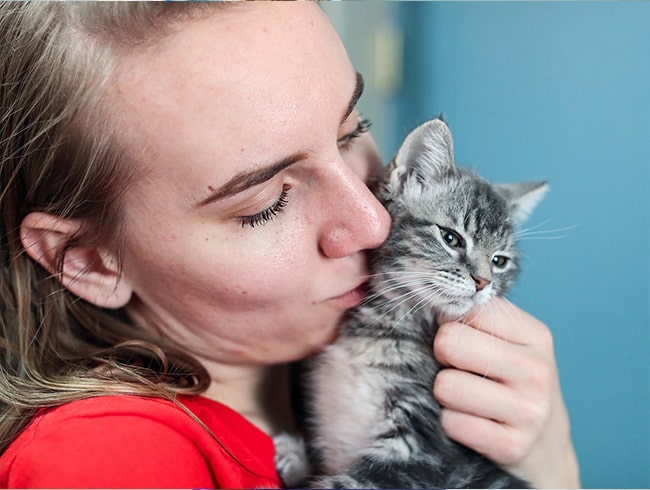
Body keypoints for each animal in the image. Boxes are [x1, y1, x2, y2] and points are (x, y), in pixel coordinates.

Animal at [274, 117, 548, 486]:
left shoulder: (419, 453)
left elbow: (346, 483)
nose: (483, 282)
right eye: (451, 238)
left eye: (499, 261)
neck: (385, 325)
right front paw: (295, 456)